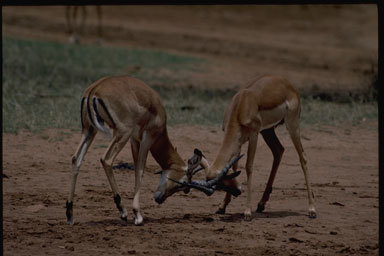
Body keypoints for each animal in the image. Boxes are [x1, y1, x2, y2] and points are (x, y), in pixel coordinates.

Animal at [67, 75, 240, 225]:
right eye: (183, 184)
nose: (159, 199)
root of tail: (94, 90)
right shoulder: (147, 138)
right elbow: (140, 170)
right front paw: (138, 215)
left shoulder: (134, 140)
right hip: (121, 133)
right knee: (106, 159)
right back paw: (123, 212)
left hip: (89, 130)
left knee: (76, 158)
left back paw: (70, 215)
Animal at [158, 75, 316, 220]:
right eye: (221, 186)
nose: (238, 191)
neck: (240, 106)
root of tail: (288, 84)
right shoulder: (239, 141)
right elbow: (235, 166)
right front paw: (222, 207)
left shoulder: (253, 135)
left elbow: (249, 166)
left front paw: (247, 212)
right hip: (268, 131)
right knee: (279, 151)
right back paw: (261, 204)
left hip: (291, 124)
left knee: (303, 157)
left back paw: (312, 210)